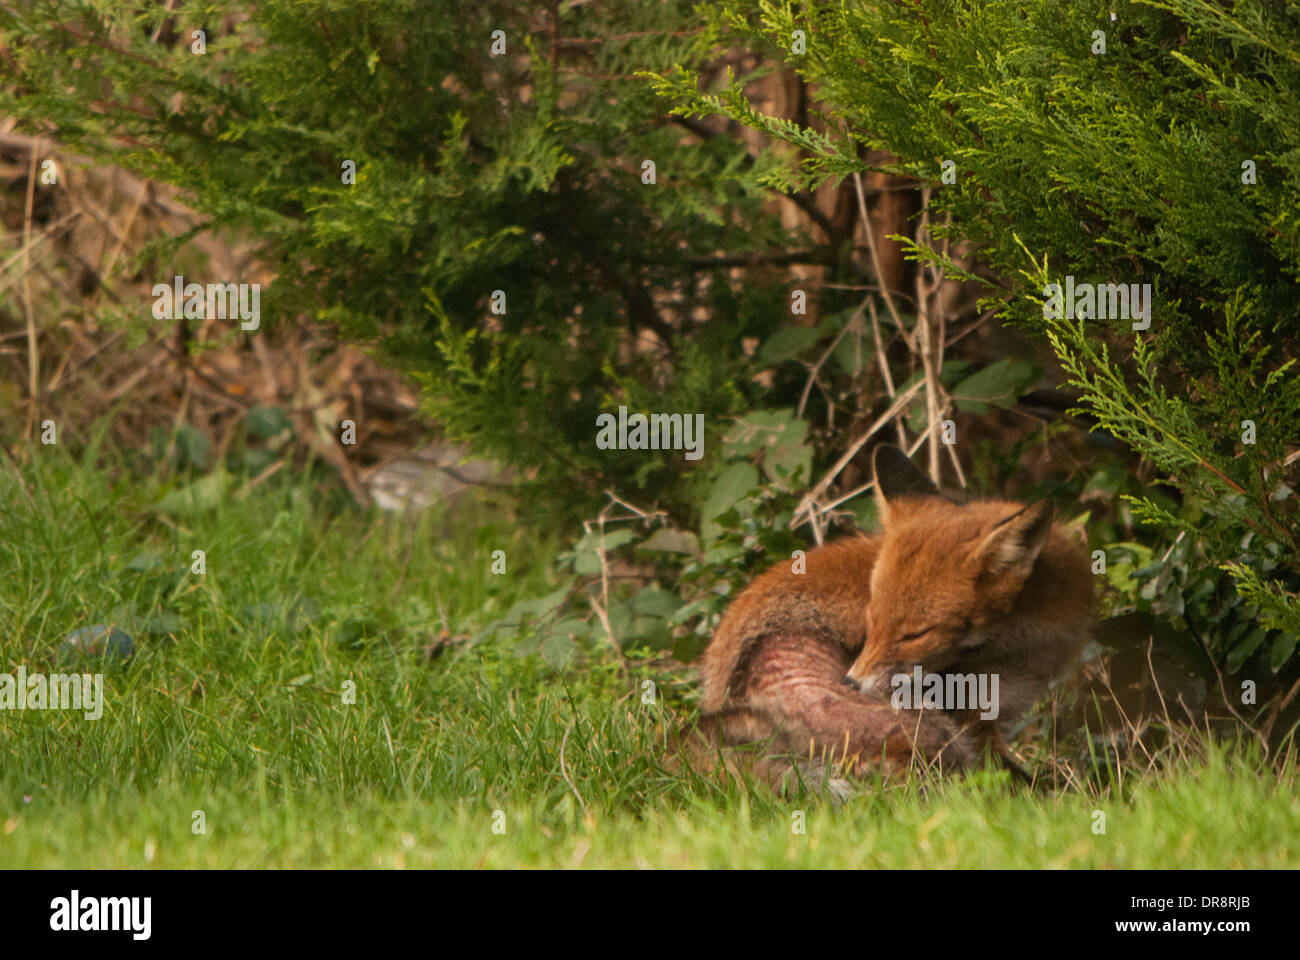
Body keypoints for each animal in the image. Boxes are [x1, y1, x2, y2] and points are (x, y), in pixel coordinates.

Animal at [691, 444, 1097, 790]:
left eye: (915, 635)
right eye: (871, 622)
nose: (850, 683)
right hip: (931, 731)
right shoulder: (968, 717)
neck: (1022, 643)